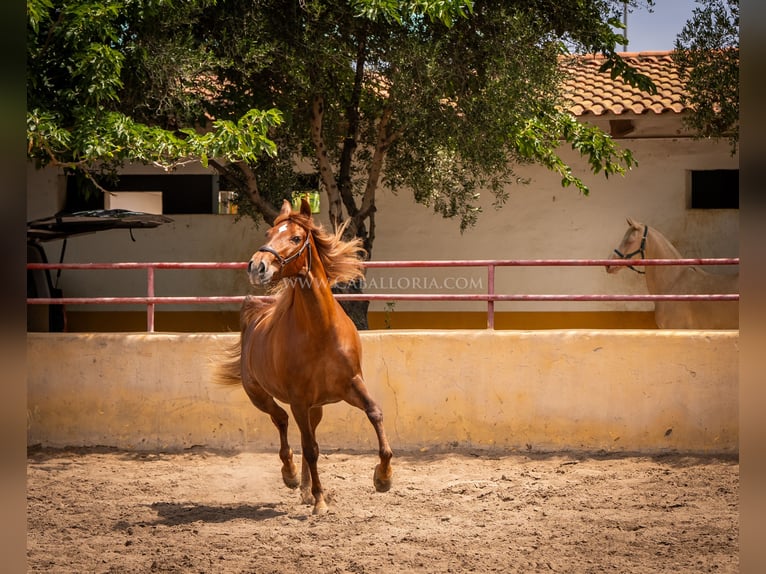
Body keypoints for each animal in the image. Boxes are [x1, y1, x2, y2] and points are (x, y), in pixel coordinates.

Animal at [218, 199, 392, 516]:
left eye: (296, 238)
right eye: (269, 233)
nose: (257, 267)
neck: (320, 331)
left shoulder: (352, 384)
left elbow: (374, 413)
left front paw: (383, 477)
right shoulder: (298, 397)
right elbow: (310, 449)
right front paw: (320, 500)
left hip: (316, 408)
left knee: (303, 433)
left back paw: (304, 489)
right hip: (261, 396)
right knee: (282, 422)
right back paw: (291, 477)